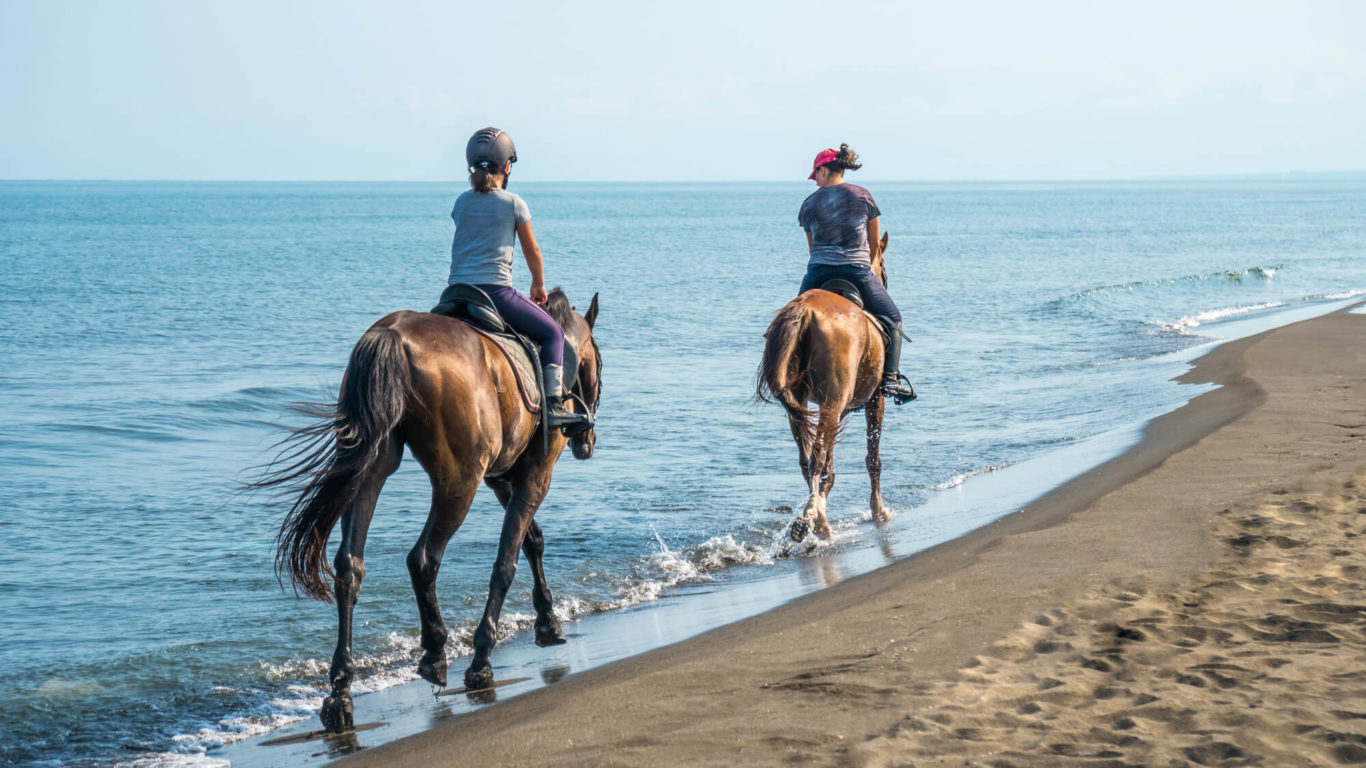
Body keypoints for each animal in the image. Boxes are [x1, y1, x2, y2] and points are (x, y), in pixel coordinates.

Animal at [252, 286, 603, 727]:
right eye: (601, 364)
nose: (586, 441)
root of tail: (392, 336)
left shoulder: (503, 480)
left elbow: (531, 542)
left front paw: (548, 622)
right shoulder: (535, 476)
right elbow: (506, 562)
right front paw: (484, 656)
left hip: (372, 463)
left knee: (350, 567)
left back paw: (341, 692)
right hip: (459, 480)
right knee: (424, 558)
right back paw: (436, 654)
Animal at [759, 232, 896, 538]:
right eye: (884, 267)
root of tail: (805, 309)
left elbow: (829, 468)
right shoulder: (875, 398)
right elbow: (873, 459)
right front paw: (879, 510)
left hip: (801, 405)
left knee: (807, 458)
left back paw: (810, 519)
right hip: (832, 403)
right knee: (817, 457)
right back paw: (817, 519)